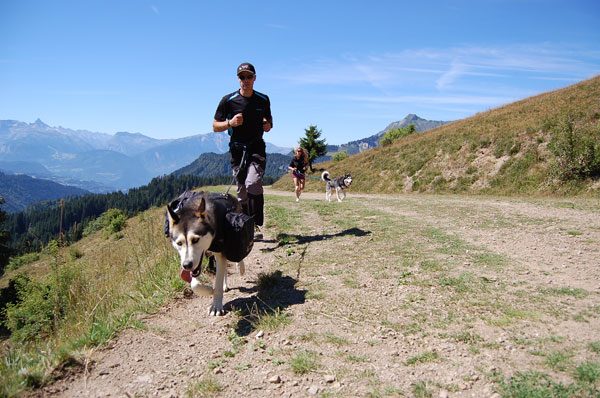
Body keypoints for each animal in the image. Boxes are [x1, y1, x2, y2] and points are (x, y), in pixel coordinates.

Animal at [163, 190, 252, 318]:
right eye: (179, 243)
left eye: (195, 240)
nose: (186, 265)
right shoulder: (196, 264)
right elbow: (195, 284)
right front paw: (210, 290)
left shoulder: (220, 252)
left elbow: (218, 283)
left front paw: (216, 306)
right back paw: (225, 284)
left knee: (237, 256)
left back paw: (240, 267)